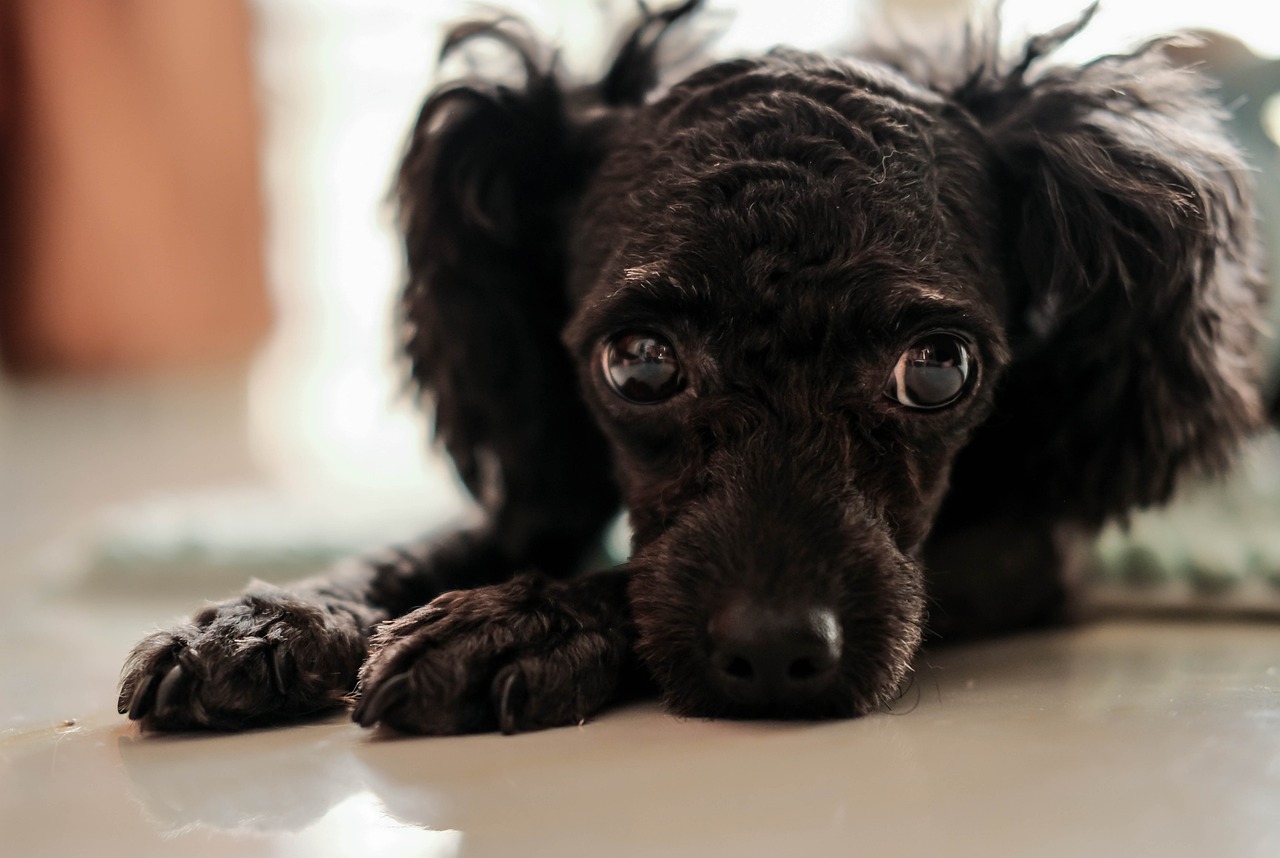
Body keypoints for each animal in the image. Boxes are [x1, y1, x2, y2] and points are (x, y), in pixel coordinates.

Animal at [115, 1, 1264, 737]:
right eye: (637, 363)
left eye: (938, 370)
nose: (775, 654)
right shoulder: (539, 485)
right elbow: (422, 545)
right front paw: (277, 616)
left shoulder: (1030, 541)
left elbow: (621, 580)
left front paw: (517, 624)